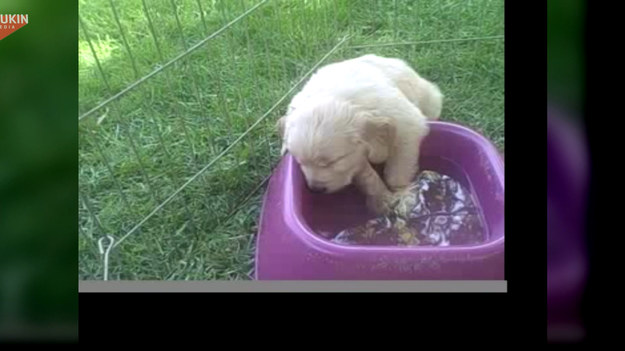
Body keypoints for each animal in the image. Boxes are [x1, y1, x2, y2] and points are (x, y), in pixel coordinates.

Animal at [276, 54, 442, 214]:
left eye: (335, 161)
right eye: (300, 162)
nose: (316, 189)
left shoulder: (407, 126)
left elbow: (398, 170)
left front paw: (402, 194)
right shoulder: (356, 158)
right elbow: (367, 176)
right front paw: (382, 199)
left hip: (429, 100)